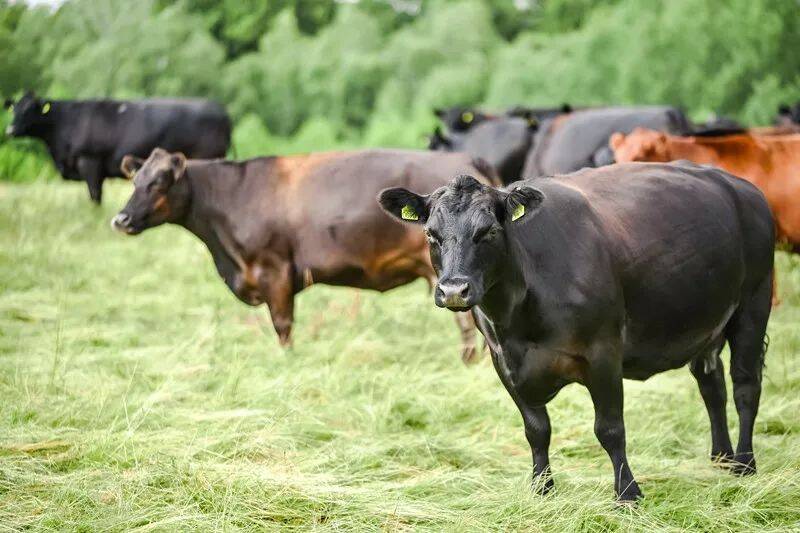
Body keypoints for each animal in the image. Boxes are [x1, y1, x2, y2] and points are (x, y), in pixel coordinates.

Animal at [5, 91, 231, 202]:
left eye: (29, 109)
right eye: (14, 109)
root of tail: (219, 108)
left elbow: (95, 195)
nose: (10, 129)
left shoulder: (90, 161)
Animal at [382, 162, 776, 498]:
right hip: (706, 323)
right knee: (712, 385)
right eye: (431, 234)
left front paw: (627, 493)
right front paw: (542, 489)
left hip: (753, 304)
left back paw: (744, 463)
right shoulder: (504, 361)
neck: (519, 318)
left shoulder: (603, 353)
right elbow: (536, 430)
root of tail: (742, 186)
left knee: (745, 387)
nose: (453, 290)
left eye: (489, 231)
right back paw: (721, 458)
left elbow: (610, 429)